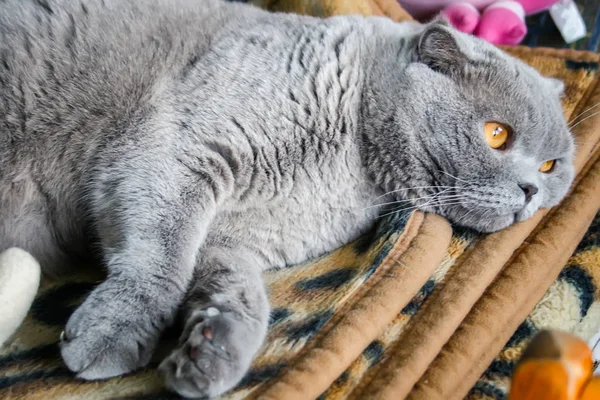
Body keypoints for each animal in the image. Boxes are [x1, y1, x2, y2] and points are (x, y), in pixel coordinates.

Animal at [0, 0, 576, 396]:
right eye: (496, 134)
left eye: (552, 167)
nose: (531, 191)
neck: (350, 166)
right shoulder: (176, 153)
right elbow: (160, 260)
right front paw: (114, 331)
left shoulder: (235, 238)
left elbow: (241, 290)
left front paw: (213, 350)